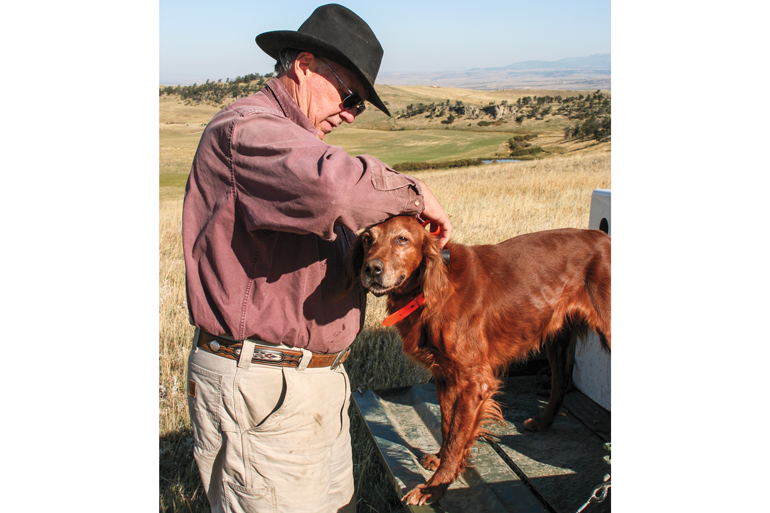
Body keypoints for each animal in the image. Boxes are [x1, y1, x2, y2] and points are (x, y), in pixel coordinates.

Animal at [344, 215, 608, 504]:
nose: (371, 269)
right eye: (367, 238)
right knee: (560, 382)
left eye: (402, 239)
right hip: (557, 336)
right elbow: (447, 425)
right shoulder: (445, 376)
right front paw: (440, 460)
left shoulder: (474, 381)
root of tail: (604, 237)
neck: (433, 290)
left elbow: (457, 437)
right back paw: (542, 422)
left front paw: (434, 487)